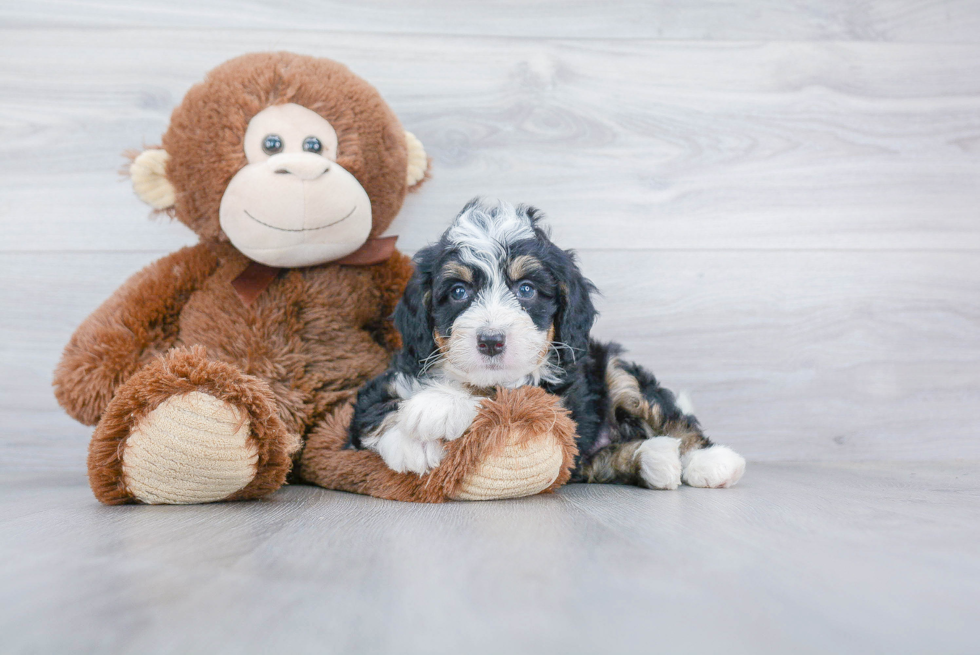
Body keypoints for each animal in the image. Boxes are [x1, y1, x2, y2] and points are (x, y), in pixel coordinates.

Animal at [348, 200, 748, 492]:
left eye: (526, 289)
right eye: (459, 292)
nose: (490, 341)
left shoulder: (552, 405)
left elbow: (502, 401)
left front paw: (436, 406)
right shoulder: (379, 388)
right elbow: (376, 409)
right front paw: (413, 439)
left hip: (614, 368)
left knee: (671, 417)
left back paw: (709, 462)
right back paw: (655, 459)